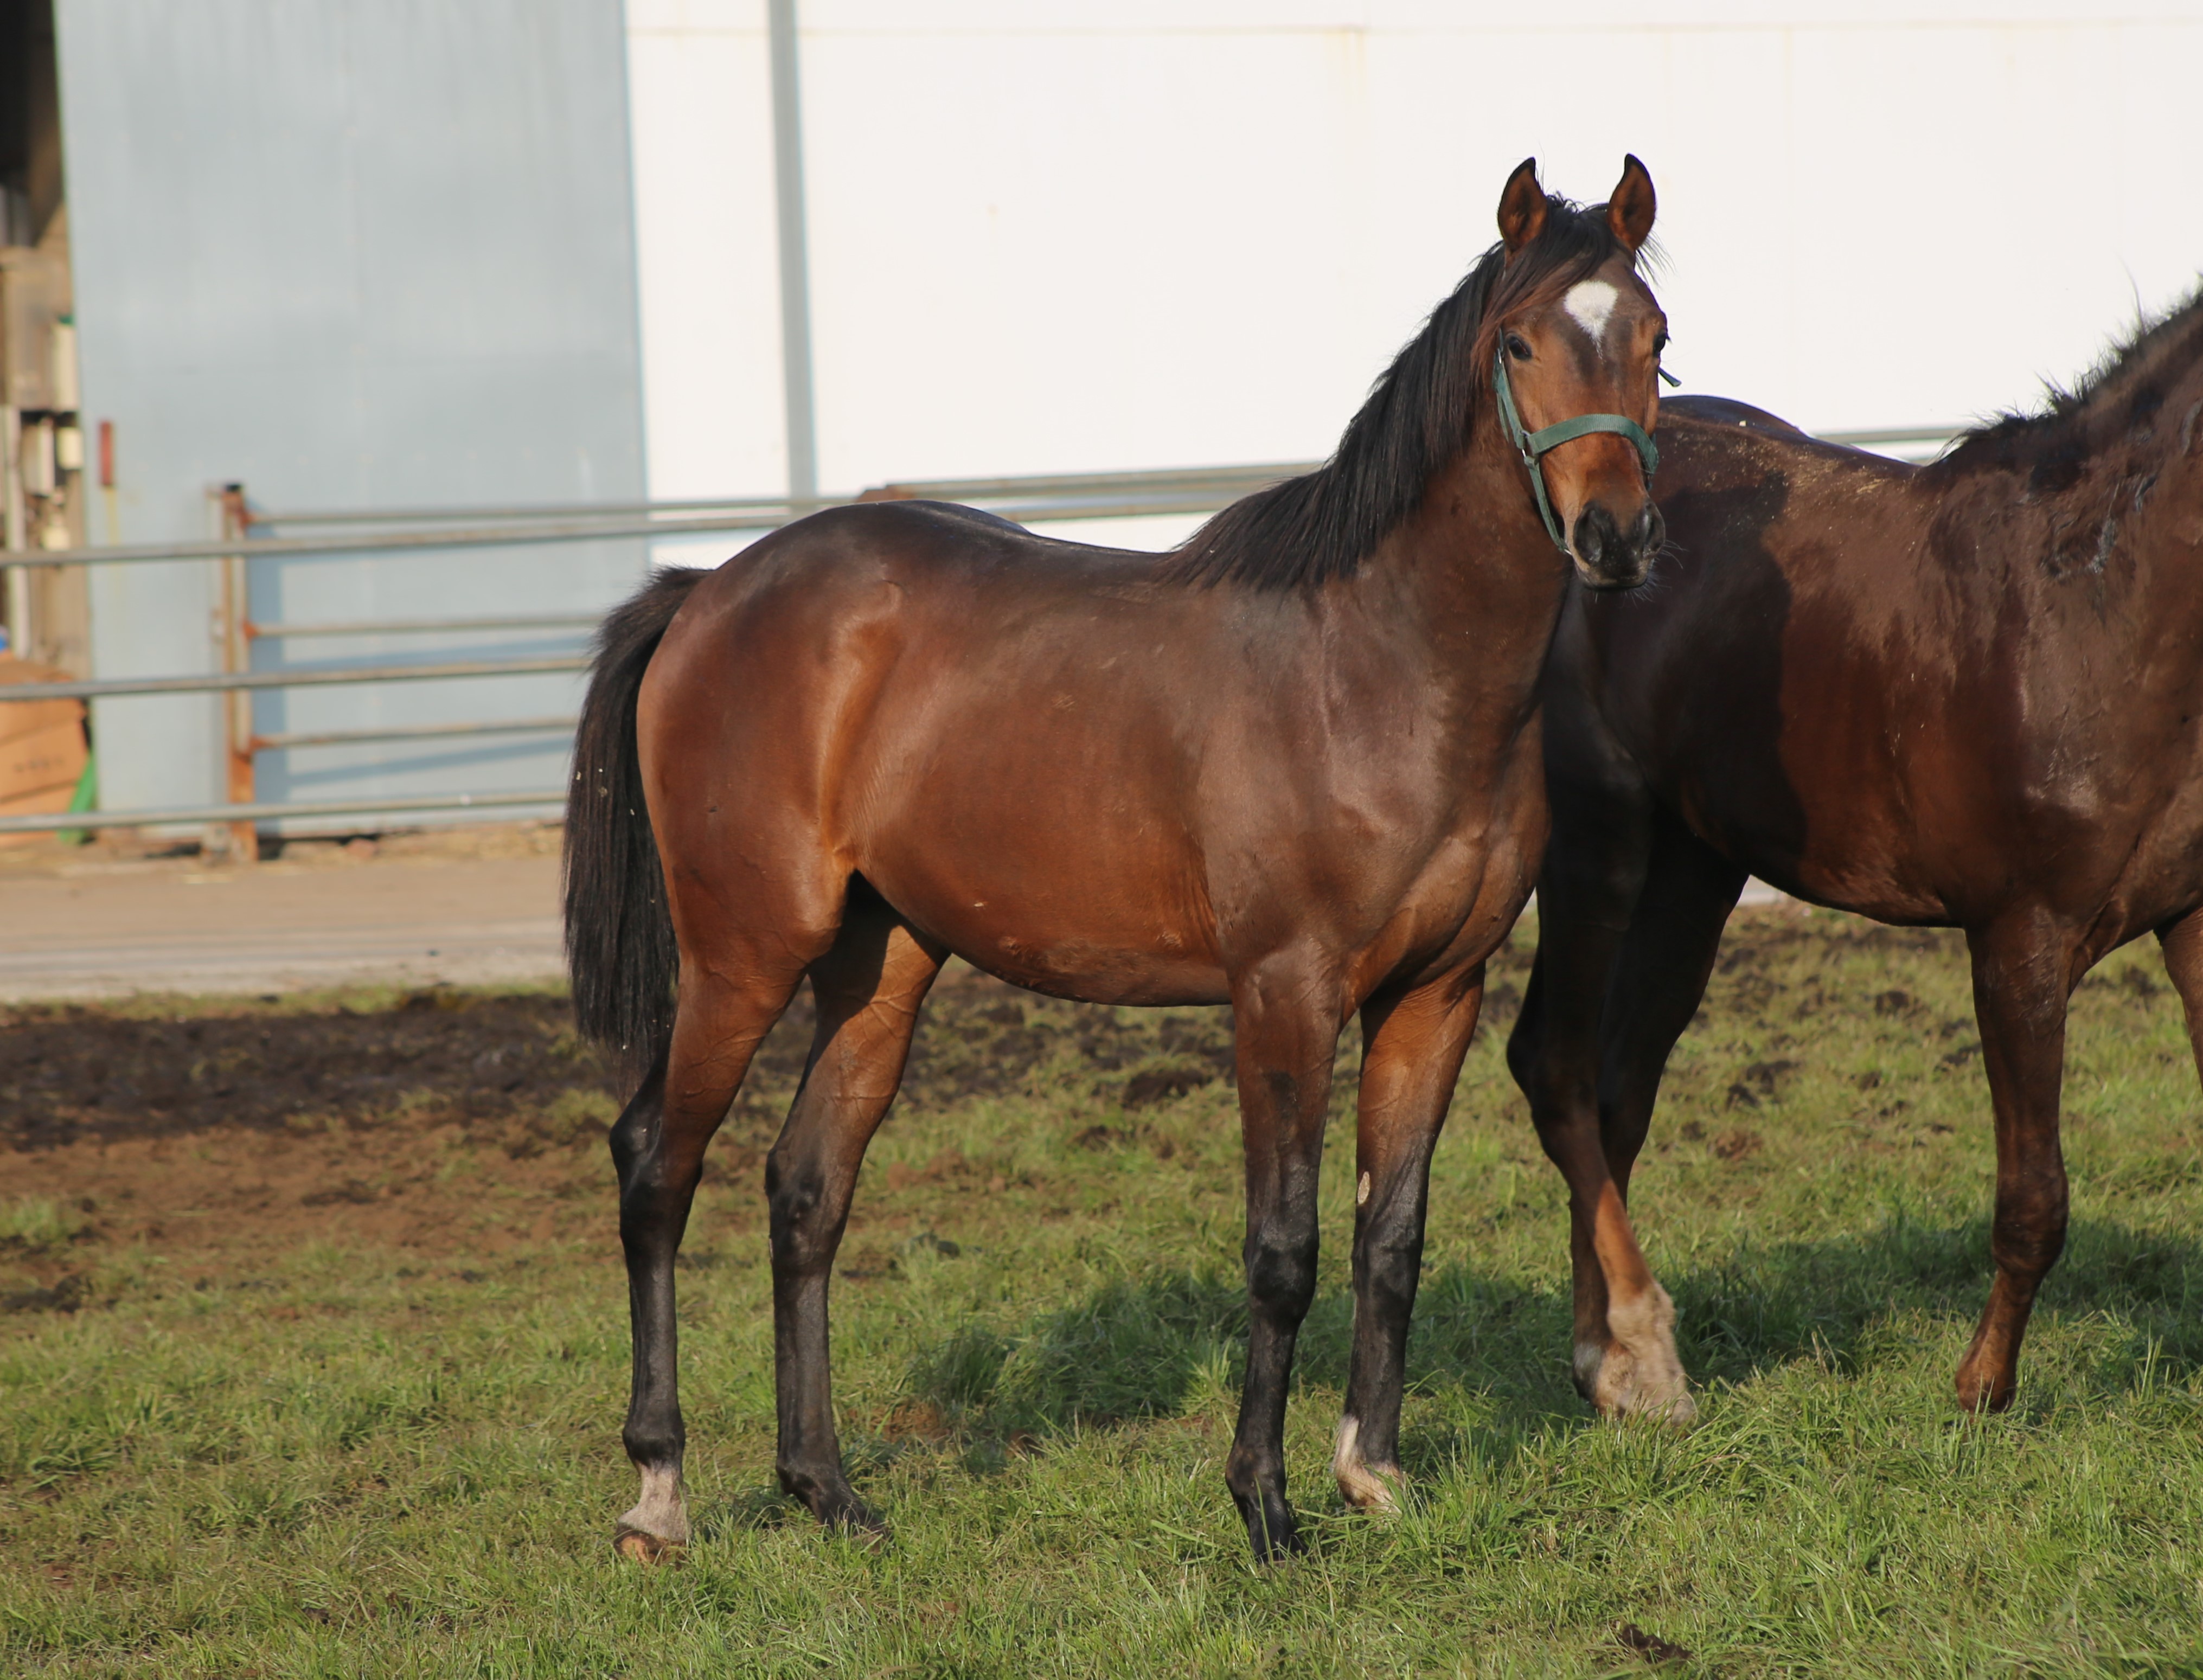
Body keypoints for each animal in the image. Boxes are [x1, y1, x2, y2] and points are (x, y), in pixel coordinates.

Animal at [568, 157, 1665, 1567]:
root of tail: (710, 591)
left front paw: (1374, 1474)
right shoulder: (1285, 993)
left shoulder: (1437, 994)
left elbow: (1393, 1239)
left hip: (882, 962)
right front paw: (1265, 1506)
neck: (1384, 669)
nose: (1615, 537)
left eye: (1655, 339)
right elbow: (1285, 1250)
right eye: (1520, 342)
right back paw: (659, 1493)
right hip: (743, 953)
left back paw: (828, 1489)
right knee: (658, 1164)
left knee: (808, 1188)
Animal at [1507, 286, 2202, 1418]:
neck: (2097, 606)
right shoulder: (2019, 940)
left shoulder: (2190, 922)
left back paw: (1616, 1354)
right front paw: (1980, 1390)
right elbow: (2034, 1199)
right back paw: (1611, 1362)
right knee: (1554, 1064)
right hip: (1595, 844)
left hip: (1693, 871)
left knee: (1620, 1089)